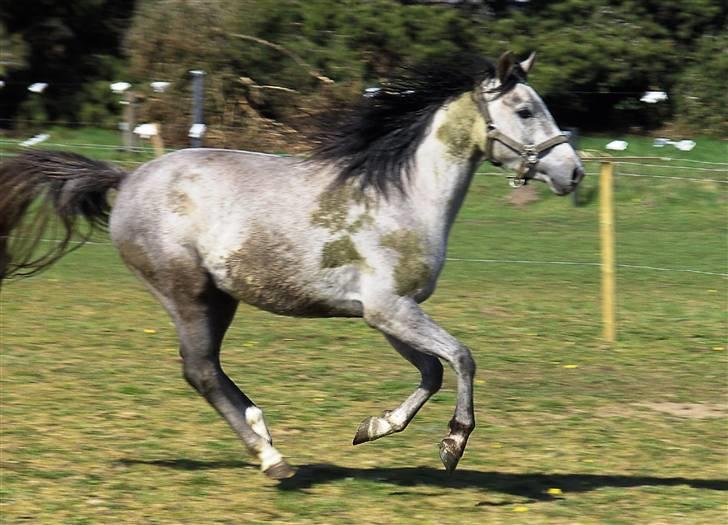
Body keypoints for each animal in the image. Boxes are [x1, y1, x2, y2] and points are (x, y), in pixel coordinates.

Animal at [0, 52, 584, 478]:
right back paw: (272, 459)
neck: (404, 194)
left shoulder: (387, 315)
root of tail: (127, 179)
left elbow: (433, 370)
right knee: (200, 370)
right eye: (526, 111)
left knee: (210, 370)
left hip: (220, 298)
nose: (573, 172)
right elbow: (462, 358)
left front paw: (373, 427)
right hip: (187, 292)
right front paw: (453, 444)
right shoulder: (389, 310)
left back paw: (264, 436)